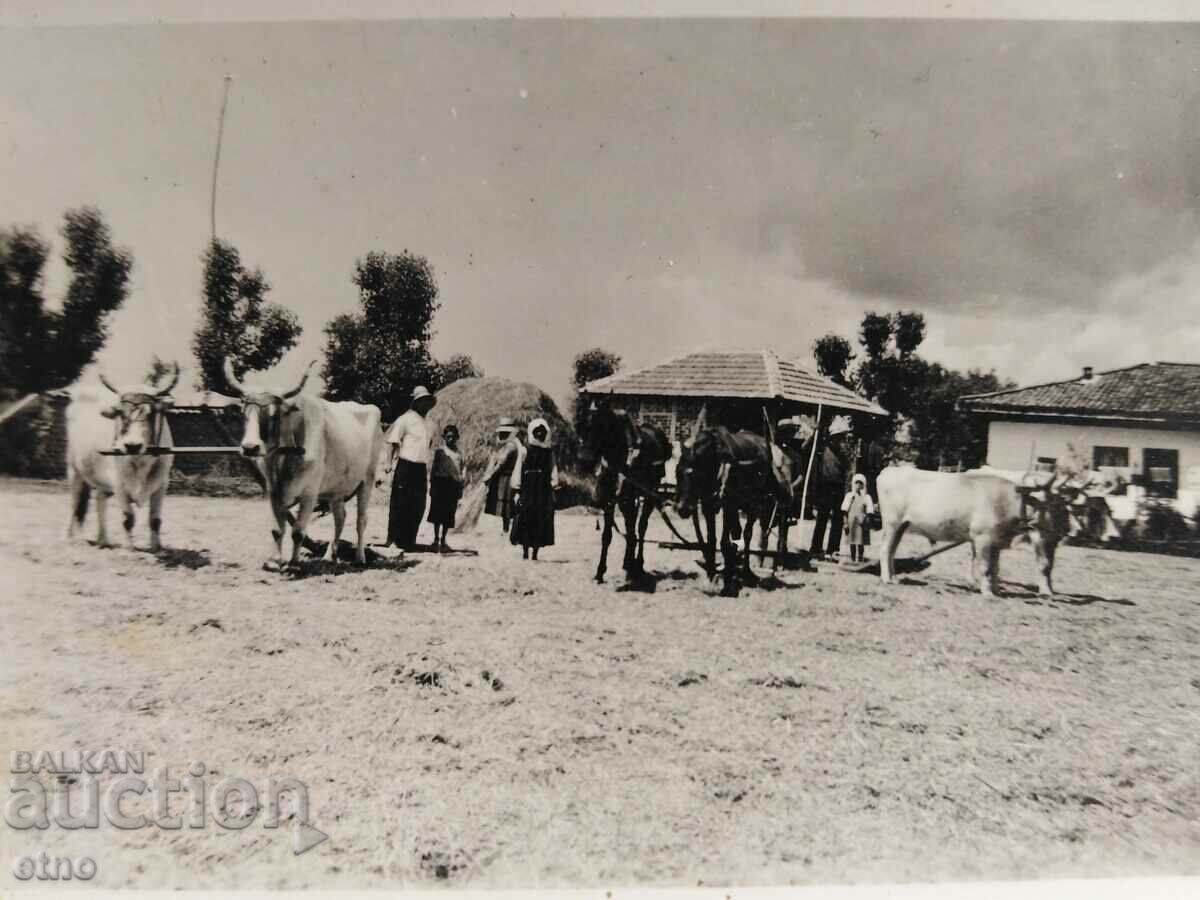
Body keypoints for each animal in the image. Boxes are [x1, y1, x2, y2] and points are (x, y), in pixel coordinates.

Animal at [66, 362, 178, 554]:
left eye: (152, 412)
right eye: (120, 413)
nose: (132, 445)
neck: (140, 461)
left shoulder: (162, 484)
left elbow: (155, 520)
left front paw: (157, 548)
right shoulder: (119, 484)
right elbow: (128, 519)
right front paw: (129, 549)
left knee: (100, 501)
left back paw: (103, 540)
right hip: (75, 470)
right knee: (75, 503)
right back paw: (71, 538)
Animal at [220, 357, 379, 564]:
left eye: (274, 415)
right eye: (243, 414)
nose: (249, 447)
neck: (283, 459)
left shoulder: (309, 494)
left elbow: (297, 532)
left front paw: (294, 561)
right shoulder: (273, 492)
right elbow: (276, 530)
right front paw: (274, 559)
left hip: (367, 481)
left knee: (361, 519)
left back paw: (359, 557)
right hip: (337, 488)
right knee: (340, 517)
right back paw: (329, 555)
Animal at [580, 408, 676, 585]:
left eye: (601, 426)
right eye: (582, 424)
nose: (585, 461)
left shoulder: (629, 498)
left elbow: (634, 529)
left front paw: (632, 568)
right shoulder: (610, 500)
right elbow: (607, 535)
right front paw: (600, 572)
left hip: (649, 493)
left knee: (641, 526)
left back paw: (638, 564)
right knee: (630, 524)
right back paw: (628, 562)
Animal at [676, 415, 796, 600]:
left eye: (696, 474)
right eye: (678, 473)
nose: (683, 509)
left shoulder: (729, 505)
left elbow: (725, 542)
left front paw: (727, 585)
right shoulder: (708, 506)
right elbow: (712, 541)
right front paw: (712, 576)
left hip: (753, 505)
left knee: (746, 535)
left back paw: (746, 572)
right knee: (738, 533)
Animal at [878, 465, 1075, 600]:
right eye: (1053, 503)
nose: (1065, 530)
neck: (1007, 500)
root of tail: (890, 470)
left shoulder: (996, 542)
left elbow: (995, 568)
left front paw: (996, 590)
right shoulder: (983, 538)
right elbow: (986, 567)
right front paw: (988, 593)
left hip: (901, 526)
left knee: (892, 550)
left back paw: (894, 577)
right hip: (892, 523)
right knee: (886, 549)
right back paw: (886, 578)